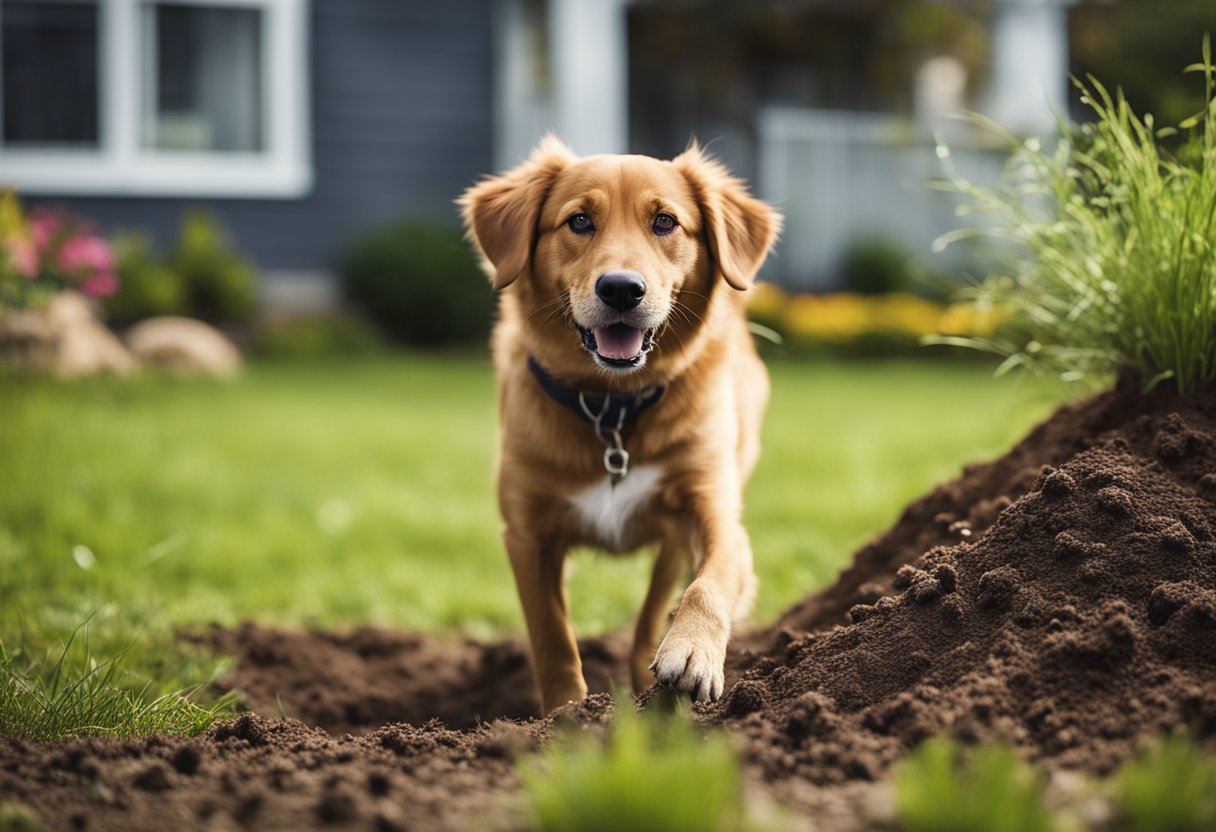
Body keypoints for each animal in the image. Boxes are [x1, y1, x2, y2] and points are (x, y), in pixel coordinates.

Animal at [459, 138, 783, 715]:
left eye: (665, 222)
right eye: (579, 220)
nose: (621, 289)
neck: (612, 407)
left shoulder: (714, 508)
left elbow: (710, 582)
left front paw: (693, 651)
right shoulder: (527, 534)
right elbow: (552, 638)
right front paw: (566, 714)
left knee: (659, 602)